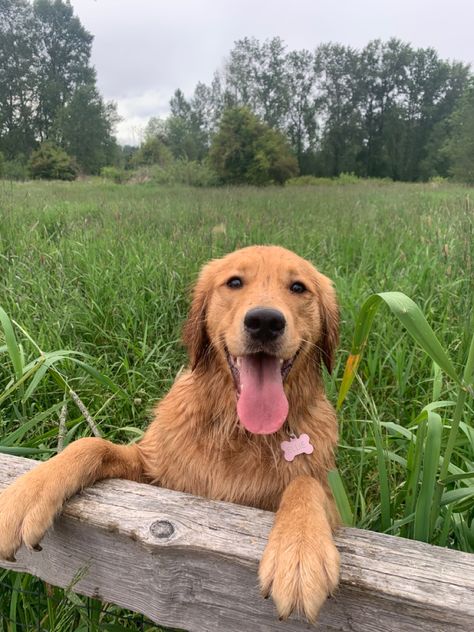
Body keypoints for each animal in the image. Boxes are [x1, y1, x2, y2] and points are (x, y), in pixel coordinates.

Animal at [0, 246, 340, 624]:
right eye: (235, 282)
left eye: (298, 287)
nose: (265, 322)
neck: (238, 431)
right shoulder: (156, 473)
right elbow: (91, 444)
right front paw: (26, 494)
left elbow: (305, 482)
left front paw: (299, 551)